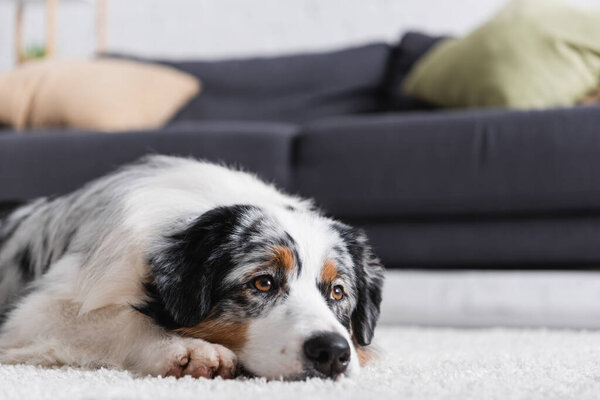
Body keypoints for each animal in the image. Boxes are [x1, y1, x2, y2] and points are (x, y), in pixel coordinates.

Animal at [0, 155, 384, 380]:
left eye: (338, 291)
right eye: (262, 283)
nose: (332, 353)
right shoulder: (33, 315)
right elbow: (120, 319)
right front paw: (189, 350)